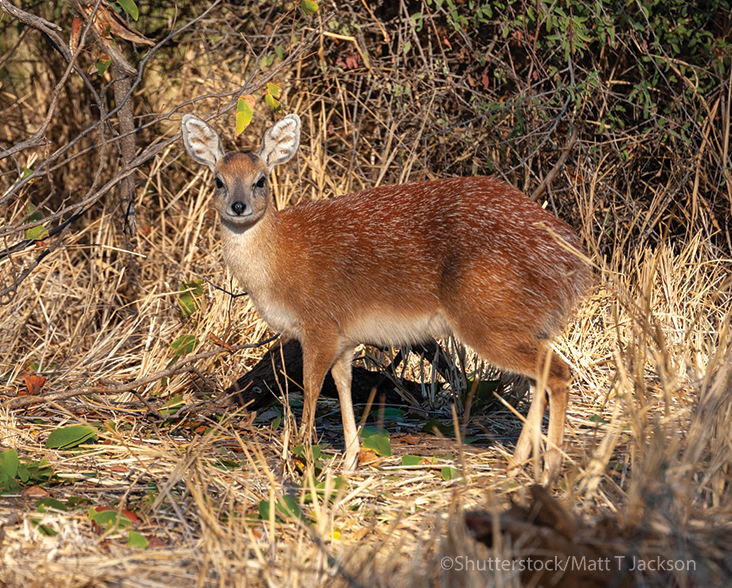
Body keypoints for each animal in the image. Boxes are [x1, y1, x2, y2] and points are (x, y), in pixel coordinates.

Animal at [183, 113, 588, 482]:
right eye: (218, 180)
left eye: (261, 180)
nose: (238, 207)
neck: (280, 262)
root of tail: (574, 265)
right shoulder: (345, 338)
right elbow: (343, 385)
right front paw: (348, 460)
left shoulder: (319, 326)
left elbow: (312, 389)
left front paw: (300, 462)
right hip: (521, 324)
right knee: (538, 380)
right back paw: (517, 465)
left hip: (488, 320)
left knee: (558, 372)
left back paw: (550, 470)